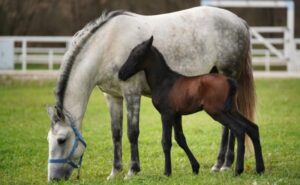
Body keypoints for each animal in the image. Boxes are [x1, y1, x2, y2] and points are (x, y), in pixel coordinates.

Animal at [118, 36, 264, 176]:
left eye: (137, 54)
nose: (121, 74)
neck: (164, 81)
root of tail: (230, 81)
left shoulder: (166, 114)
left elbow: (166, 141)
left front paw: (167, 172)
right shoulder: (177, 115)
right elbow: (180, 139)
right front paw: (195, 167)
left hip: (217, 112)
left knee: (239, 130)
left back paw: (238, 170)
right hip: (231, 110)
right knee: (252, 128)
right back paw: (259, 169)